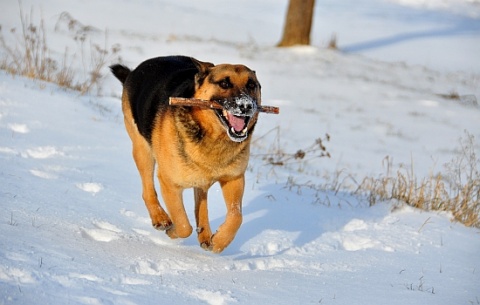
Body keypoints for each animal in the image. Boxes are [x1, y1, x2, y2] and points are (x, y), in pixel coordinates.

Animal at [110, 55, 260, 253]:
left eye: (251, 85)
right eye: (224, 83)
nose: (246, 105)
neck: (211, 135)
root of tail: (135, 71)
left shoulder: (234, 179)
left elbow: (236, 216)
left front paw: (220, 241)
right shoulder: (169, 183)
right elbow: (183, 224)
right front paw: (173, 231)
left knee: (201, 201)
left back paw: (205, 234)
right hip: (143, 151)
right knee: (147, 189)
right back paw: (160, 218)